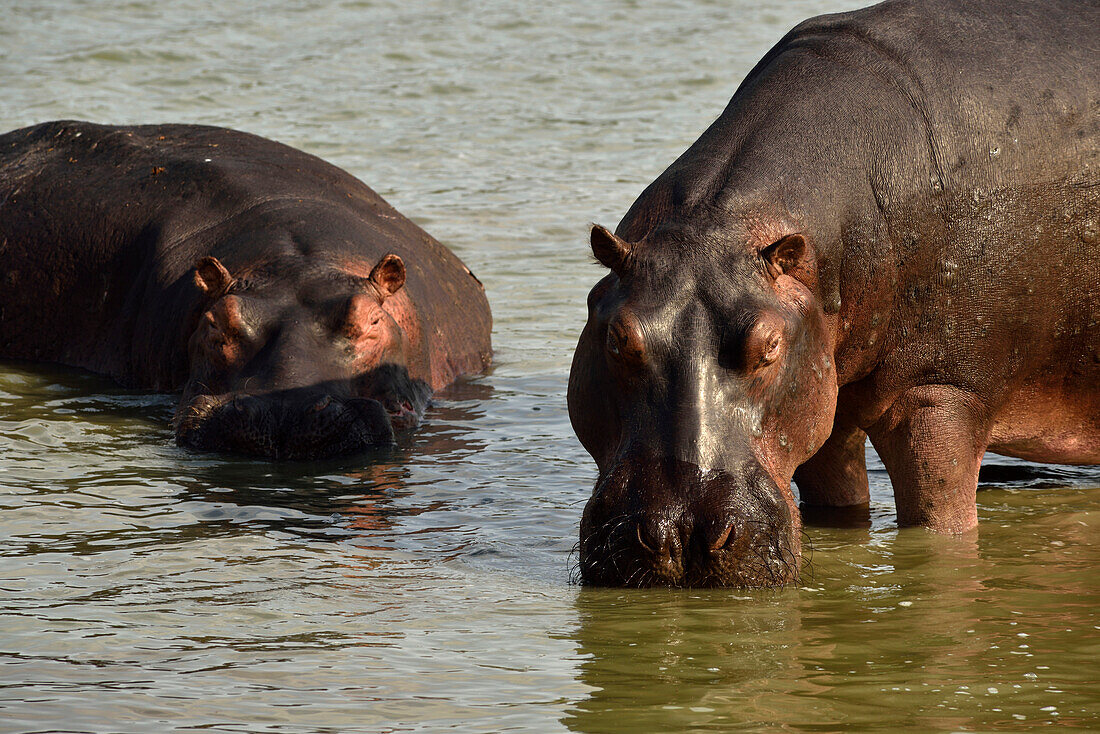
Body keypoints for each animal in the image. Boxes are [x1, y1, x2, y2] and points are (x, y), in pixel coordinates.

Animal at [572, 0, 1095, 585]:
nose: (682, 534)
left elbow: (942, 527)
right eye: (618, 338)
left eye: (770, 345)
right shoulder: (826, 397)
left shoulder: (943, 391)